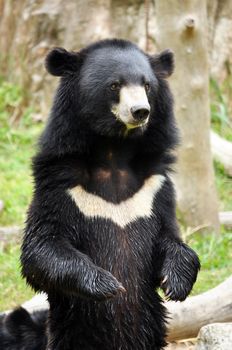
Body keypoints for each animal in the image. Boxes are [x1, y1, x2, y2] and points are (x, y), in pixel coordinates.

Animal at [0, 39, 199, 348]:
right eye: (114, 85)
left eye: (147, 85)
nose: (140, 111)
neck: (113, 151)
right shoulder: (59, 185)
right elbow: (41, 247)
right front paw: (107, 284)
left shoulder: (155, 186)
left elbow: (169, 235)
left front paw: (176, 282)